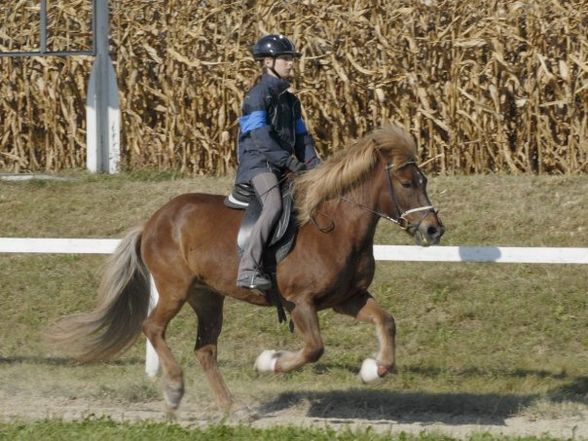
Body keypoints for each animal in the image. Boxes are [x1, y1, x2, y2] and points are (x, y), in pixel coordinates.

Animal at [49, 125, 446, 414]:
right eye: (407, 184)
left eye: (424, 181)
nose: (433, 230)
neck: (336, 228)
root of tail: (153, 221)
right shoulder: (301, 302)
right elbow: (314, 349)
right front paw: (269, 362)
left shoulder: (348, 299)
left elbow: (387, 322)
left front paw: (374, 369)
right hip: (175, 289)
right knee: (153, 328)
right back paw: (175, 389)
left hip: (208, 297)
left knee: (205, 350)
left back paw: (231, 408)